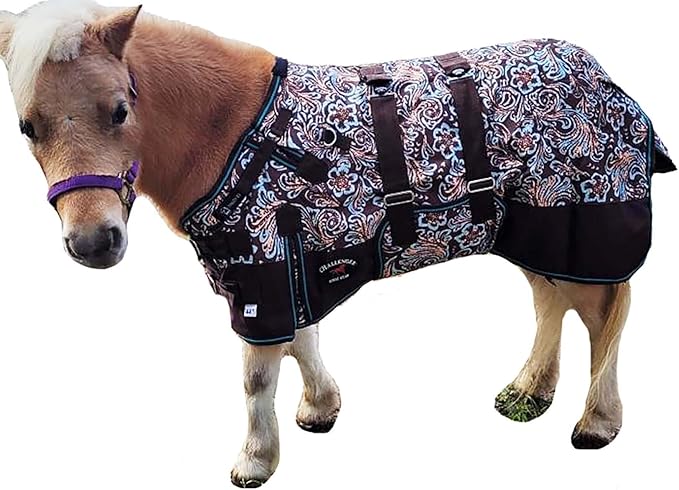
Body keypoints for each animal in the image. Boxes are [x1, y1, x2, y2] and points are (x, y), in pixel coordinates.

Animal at [0, 1, 674, 487]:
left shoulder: (263, 275)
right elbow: (302, 342)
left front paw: (255, 460)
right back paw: (527, 393)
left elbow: (257, 375)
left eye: (119, 110)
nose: (95, 241)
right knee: (550, 305)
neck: (232, 131)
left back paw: (597, 422)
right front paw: (321, 409)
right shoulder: (288, 269)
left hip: (582, 237)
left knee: (603, 322)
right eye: (27, 126)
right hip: (535, 234)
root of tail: (608, 79)